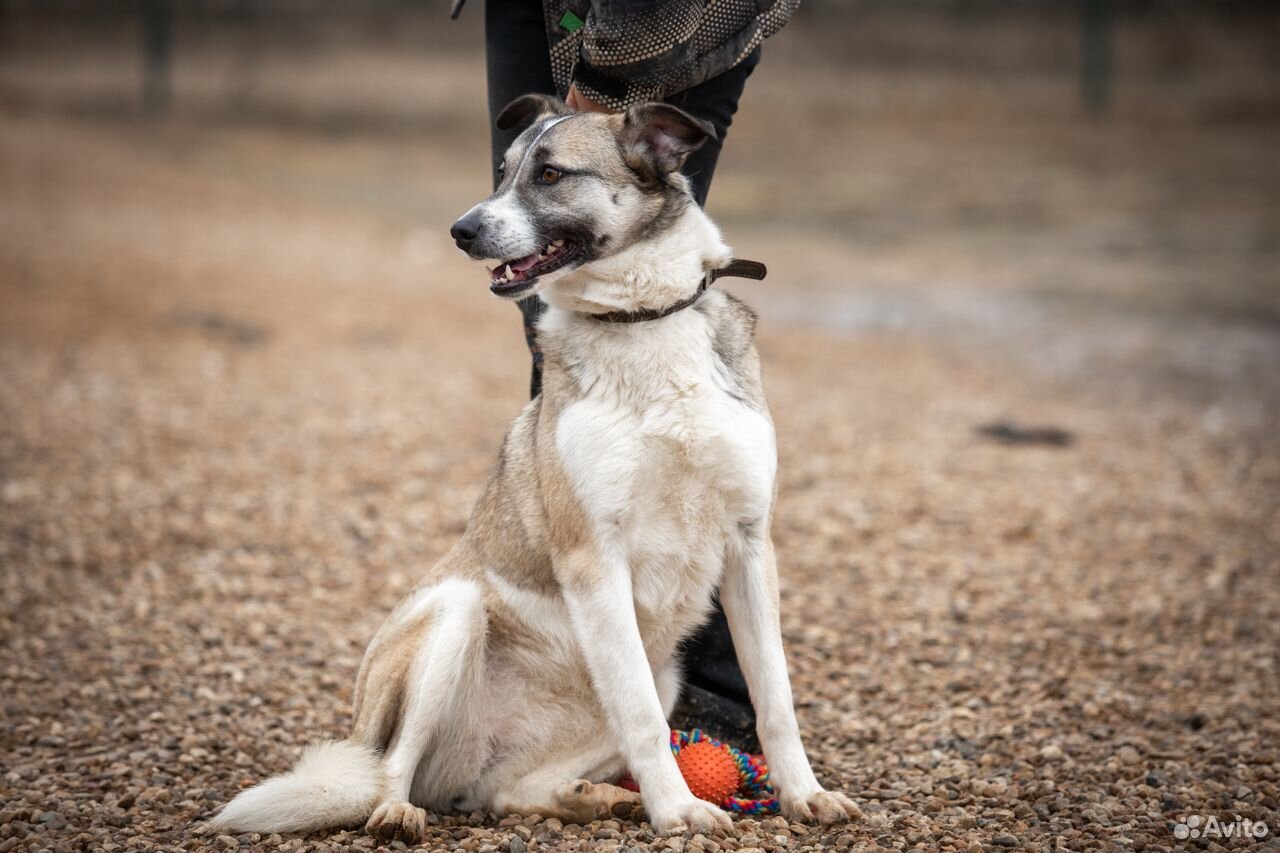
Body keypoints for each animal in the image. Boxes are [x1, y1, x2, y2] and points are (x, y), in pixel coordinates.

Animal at [212, 96, 860, 840]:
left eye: (550, 174)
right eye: (504, 172)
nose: (461, 230)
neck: (642, 321)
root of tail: (462, 772)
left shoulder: (750, 546)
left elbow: (775, 699)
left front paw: (805, 794)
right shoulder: (594, 557)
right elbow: (640, 716)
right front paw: (678, 810)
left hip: (662, 676)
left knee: (504, 795)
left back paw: (589, 797)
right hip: (455, 612)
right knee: (392, 766)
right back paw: (398, 810)